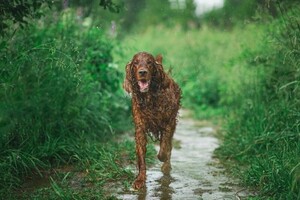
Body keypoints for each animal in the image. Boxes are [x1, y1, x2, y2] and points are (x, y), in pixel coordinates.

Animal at [122, 51, 180, 189]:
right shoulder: (140, 129)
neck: (149, 98)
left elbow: (164, 148)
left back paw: (166, 166)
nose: (142, 72)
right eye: (136, 62)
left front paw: (162, 158)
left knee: (169, 146)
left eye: (149, 62)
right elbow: (141, 157)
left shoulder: (168, 124)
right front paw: (140, 179)